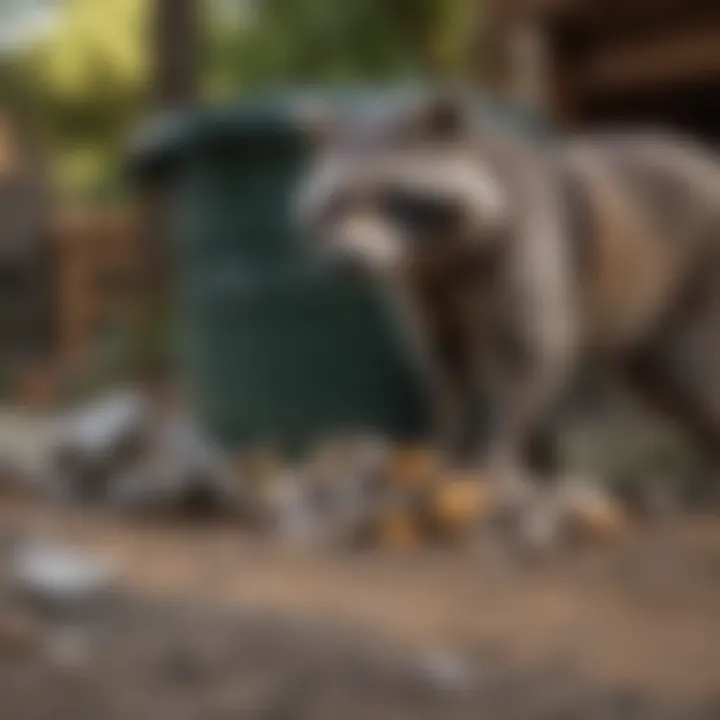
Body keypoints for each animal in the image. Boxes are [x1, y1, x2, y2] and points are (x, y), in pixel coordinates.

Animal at [296, 93, 720, 492]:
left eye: (392, 197)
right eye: (337, 201)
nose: (350, 260)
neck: (438, 256)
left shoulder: (526, 245)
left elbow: (527, 351)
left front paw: (498, 451)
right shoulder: (425, 288)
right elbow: (446, 364)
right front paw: (447, 442)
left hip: (699, 283)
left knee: (698, 375)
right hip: (648, 336)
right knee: (668, 389)